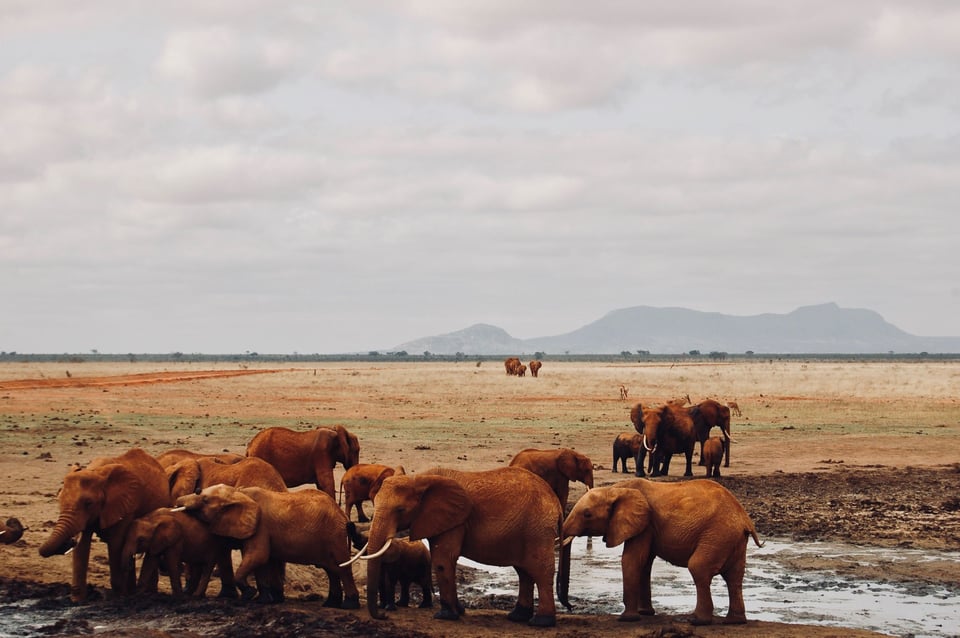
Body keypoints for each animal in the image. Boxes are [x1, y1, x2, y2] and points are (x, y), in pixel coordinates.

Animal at [39, 448, 172, 602]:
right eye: (59, 499)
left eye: (88, 503)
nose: (69, 542)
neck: (96, 472)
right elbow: (82, 545)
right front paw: (78, 601)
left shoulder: (126, 505)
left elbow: (116, 544)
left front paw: (119, 597)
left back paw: (146, 594)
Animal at [175, 484, 360, 608]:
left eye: (204, 499)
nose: (195, 596)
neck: (239, 492)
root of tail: (343, 515)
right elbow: (263, 562)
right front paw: (264, 600)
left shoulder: (261, 526)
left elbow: (258, 556)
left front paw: (250, 595)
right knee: (331, 569)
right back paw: (330, 604)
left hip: (334, 535)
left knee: (341, 567)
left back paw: (349, 605)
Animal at [349, 466, 564, 627]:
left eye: (400, 510)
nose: (384, 616)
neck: (420, 479)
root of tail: (557, 503)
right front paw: (459, 611)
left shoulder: (455, 520)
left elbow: (443, 560)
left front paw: (445, 616)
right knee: (524, 571)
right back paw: (518, 616)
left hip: (538, 529)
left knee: (540, 570)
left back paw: (541, 622)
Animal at [560, 478, 763, 625]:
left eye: (587, 514)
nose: (570, 607)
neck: (615, 489)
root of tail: (745, 519)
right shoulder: (648, 527)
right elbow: (644, 563)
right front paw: (645, 613)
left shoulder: (645, 524)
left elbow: (632, 560)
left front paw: (627, 618)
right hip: (731, 539)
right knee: (734, 577)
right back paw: (734, 622)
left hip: (717, 535)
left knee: (698, 568)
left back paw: (697, 621)